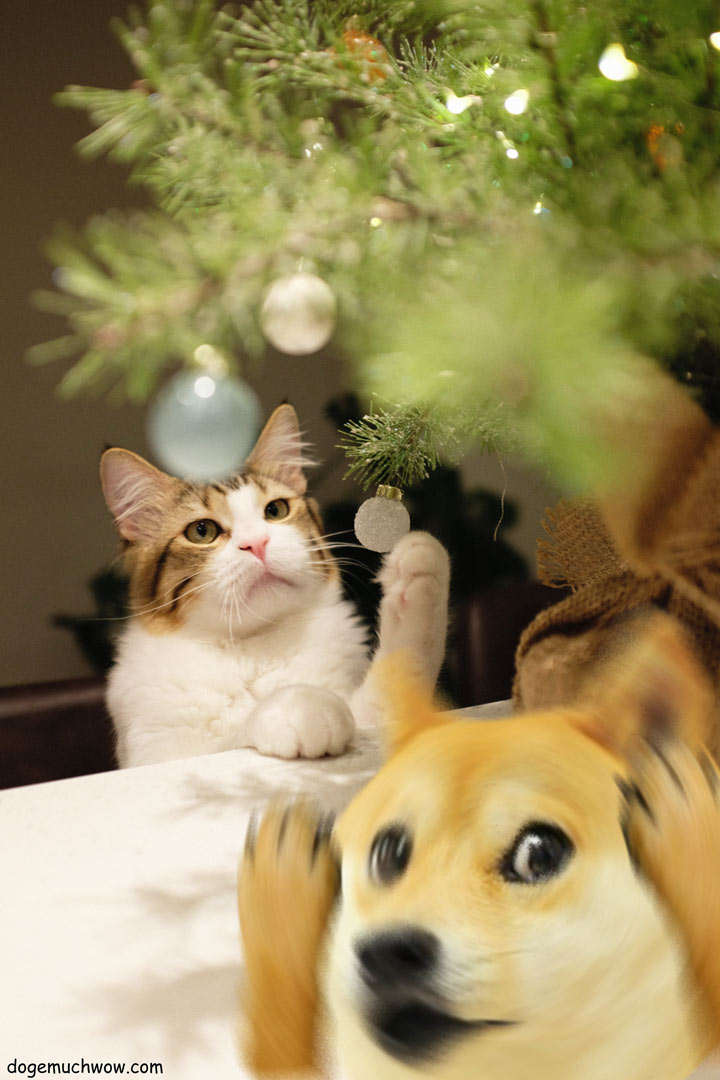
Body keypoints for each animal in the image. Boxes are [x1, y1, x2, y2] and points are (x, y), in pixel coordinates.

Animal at [99, 406, 451, 768]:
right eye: (201, 531)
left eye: (275, 510)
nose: (257, 543)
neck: (252, 647)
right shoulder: (158, 755)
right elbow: (231, 739)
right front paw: (300, 706)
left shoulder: (366, 711)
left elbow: (402, 670)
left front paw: (419, 565)